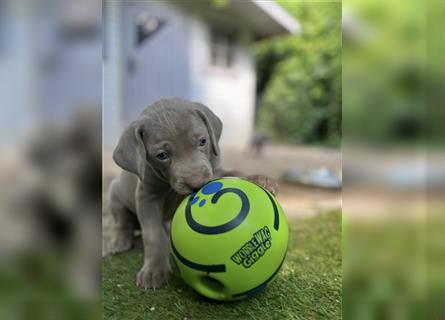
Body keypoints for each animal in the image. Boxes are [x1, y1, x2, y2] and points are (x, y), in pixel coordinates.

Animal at [106, 99, 274, 288]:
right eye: (162, 155)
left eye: (203, 141)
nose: (198, 184)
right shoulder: (147, 196)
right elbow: (153, 234)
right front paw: (154, 270)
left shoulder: (214, 170)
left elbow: (234, 172)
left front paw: (259, 179)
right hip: (114, 194)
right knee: (122, 223)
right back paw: (120, 241)